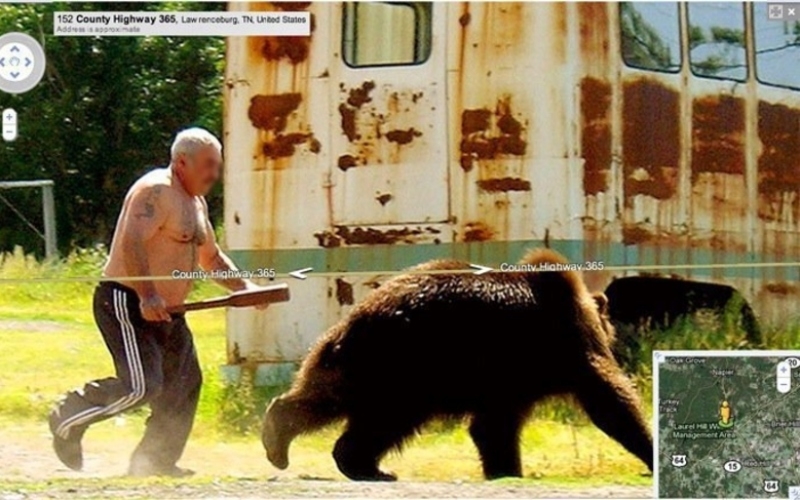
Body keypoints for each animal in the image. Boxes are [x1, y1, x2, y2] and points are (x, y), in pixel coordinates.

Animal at [260, 250, 648, 480]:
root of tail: (355, 318)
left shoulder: (509, 380)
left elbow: (493, 427)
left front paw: (504, 468)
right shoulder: (559, 345)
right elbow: (607, 397)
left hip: (359, 362)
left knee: (327, 397)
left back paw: (287, 441)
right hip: (405, 364)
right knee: (387, 419)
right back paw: (363, 465)